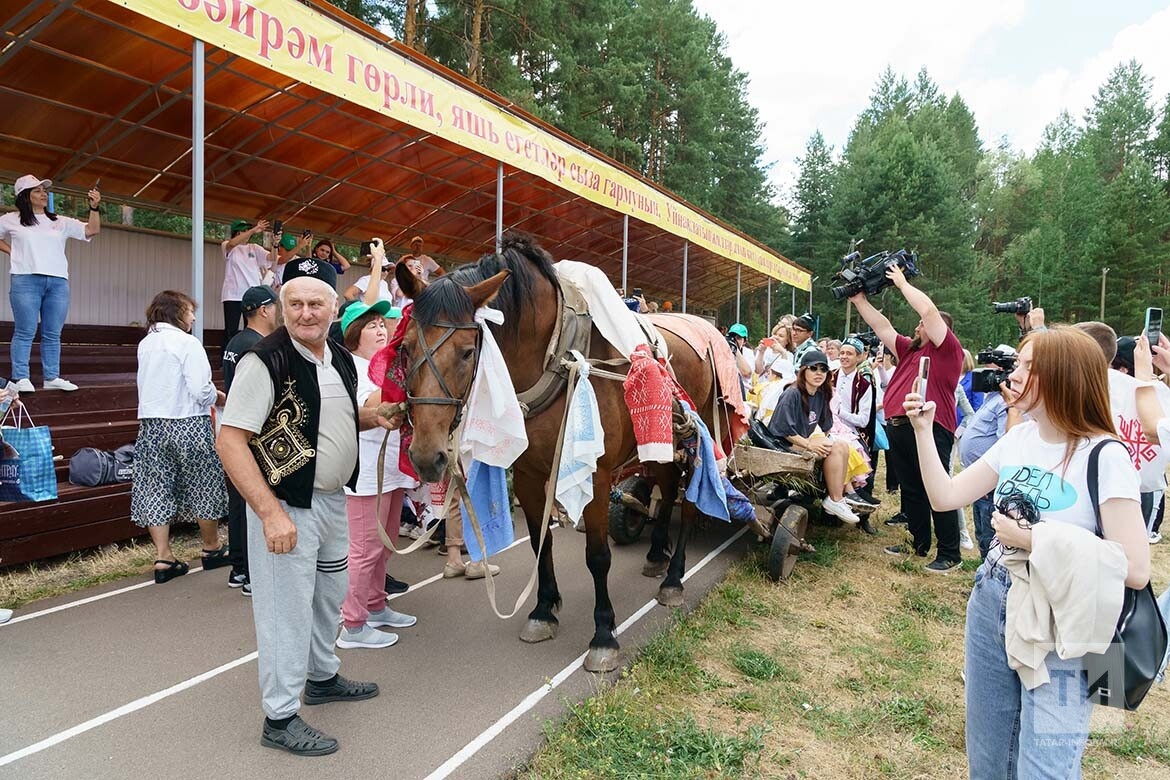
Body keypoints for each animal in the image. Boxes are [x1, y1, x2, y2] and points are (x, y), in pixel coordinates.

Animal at [395, 230, 730, 673]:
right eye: (404, 348)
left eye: (468, 351)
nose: (425, 455)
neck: (553, 358)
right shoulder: (528, 472)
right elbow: (542, 544)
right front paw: (543, 611)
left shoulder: (597, 475)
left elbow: (598, 555)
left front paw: (603, 634)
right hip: (657, 442)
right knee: (667, 485)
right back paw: (657, 553)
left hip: (695, 437)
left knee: (689, 502)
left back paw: (674, 579)